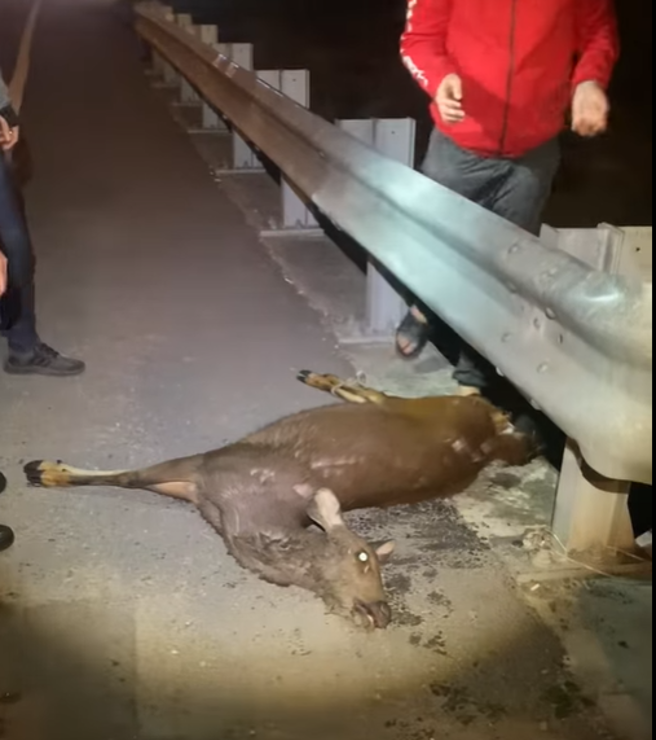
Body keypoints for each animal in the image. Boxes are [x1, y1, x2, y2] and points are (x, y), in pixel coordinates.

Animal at [24, 370, 535, 630]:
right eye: (363, 556)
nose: (382, 612)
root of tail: (491, 441)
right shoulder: (211, 464)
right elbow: (130, 477)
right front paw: (46, 469)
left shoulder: (202, 479)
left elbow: (132, 478)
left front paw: (48, 469)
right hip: (432, 406)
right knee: (391, 392)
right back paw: (323, 376)